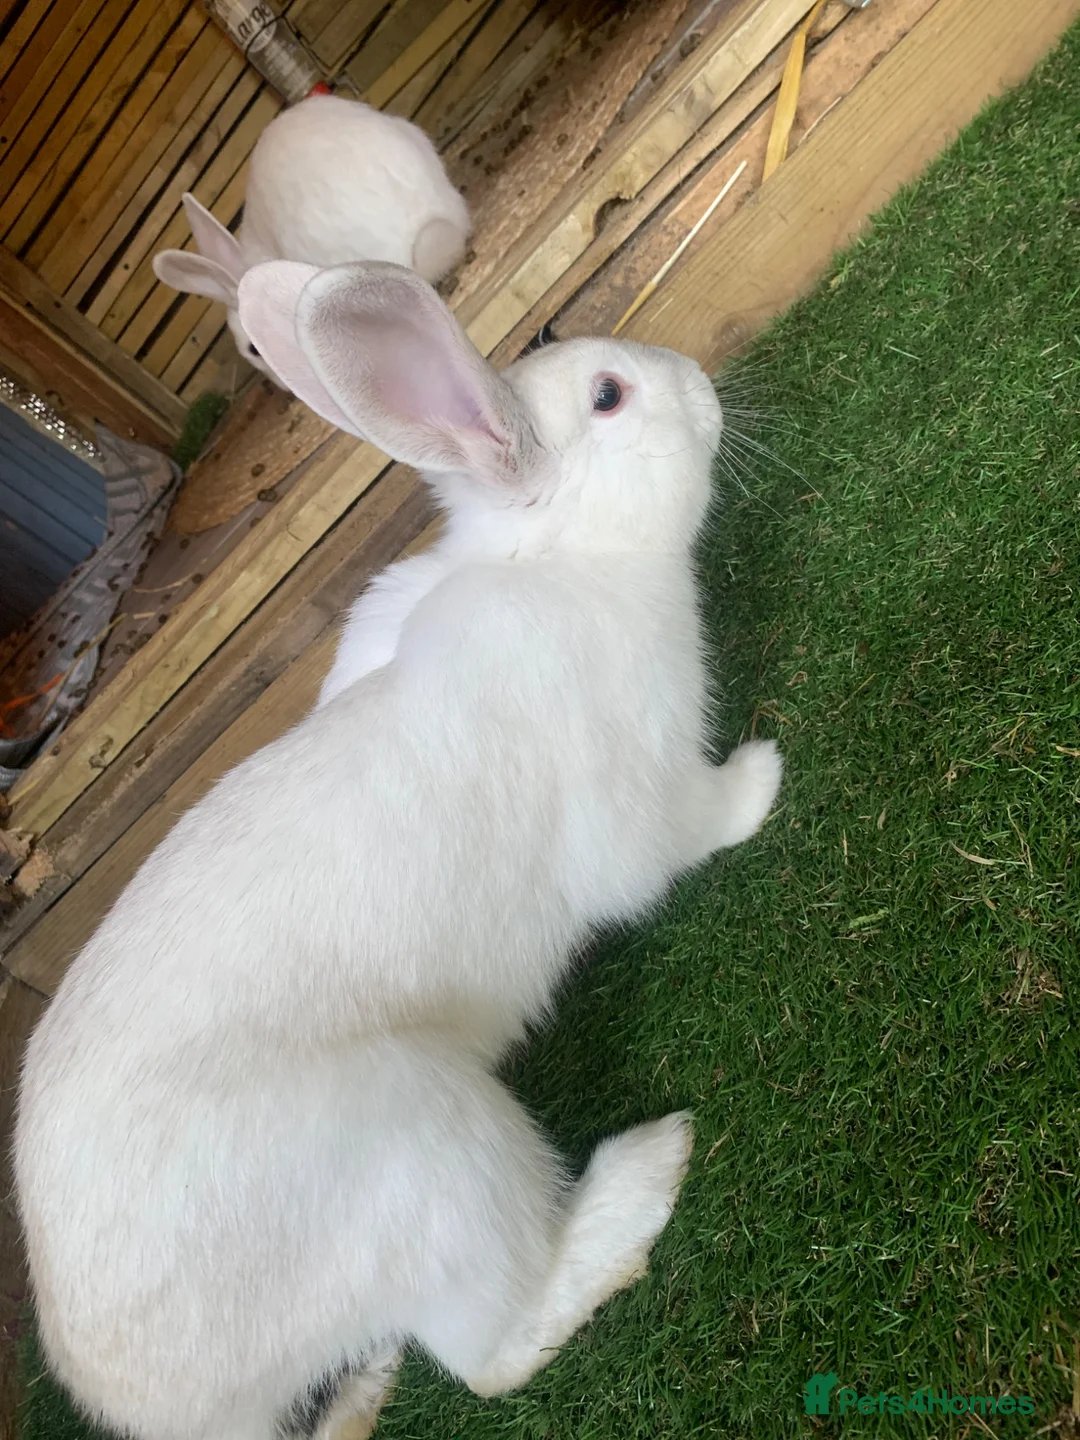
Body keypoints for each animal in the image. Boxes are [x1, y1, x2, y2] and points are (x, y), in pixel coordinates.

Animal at [15, 260, 784, 1440]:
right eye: (610, 396)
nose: (698, 384)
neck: (555, 558)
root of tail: (167, 1406)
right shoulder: (634, 793)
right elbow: (677, 836)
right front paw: (762, 779)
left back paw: (368, 1378)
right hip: (424, 1141)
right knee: (495, 1345)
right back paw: (643, 1176)